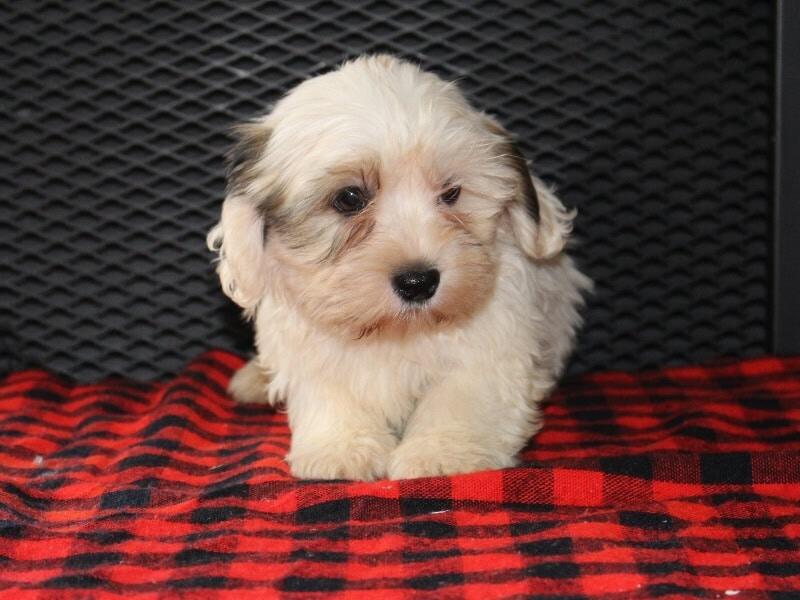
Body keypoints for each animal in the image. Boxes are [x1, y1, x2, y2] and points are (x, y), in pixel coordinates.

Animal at [207, 54, 591, 481]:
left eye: (452, 192)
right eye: (349, 198)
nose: (419, 281)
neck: (396, 330)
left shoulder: (492, 346)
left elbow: (462, 396)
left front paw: (443, 453)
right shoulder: (309, 347)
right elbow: (331, 392)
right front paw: (341, 447)